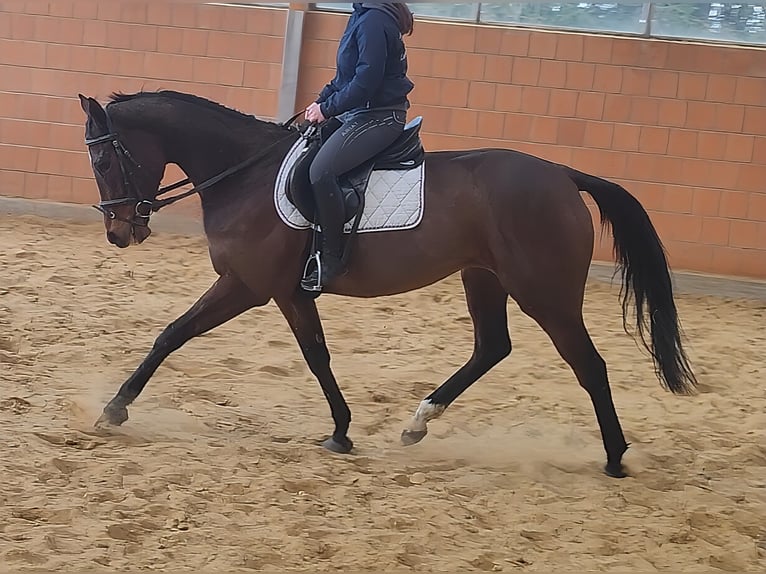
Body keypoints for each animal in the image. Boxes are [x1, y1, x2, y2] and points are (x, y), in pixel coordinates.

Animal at [78, 89, 697, 478]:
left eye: (105, 163)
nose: (119, 232)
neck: (244, 175)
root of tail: (563, 176)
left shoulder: (245, 285)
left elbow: (171, 335)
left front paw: (115, 408)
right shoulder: (288, 292)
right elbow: (317, 355)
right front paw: (342, 431)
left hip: (544, 291)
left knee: (588, 364)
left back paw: (614, 458)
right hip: (484, 277)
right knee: (492, 347)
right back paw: (418, 423)